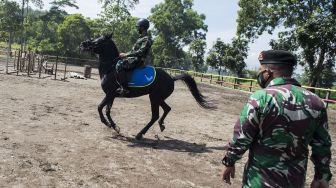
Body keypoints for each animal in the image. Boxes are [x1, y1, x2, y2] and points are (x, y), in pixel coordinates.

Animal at [80, 33, 214, 140]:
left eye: (97, 41)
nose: (82, 44)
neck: (111, 68)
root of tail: (171, 78)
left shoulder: (109, 94)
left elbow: (99, 108)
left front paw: (108, 124)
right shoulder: (112, 95)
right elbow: (107, 111)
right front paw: (115, 127)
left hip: (154, 98)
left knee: (155, 115)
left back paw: (140, 134)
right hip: (158, 98)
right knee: (167, 109)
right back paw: (161, 125)